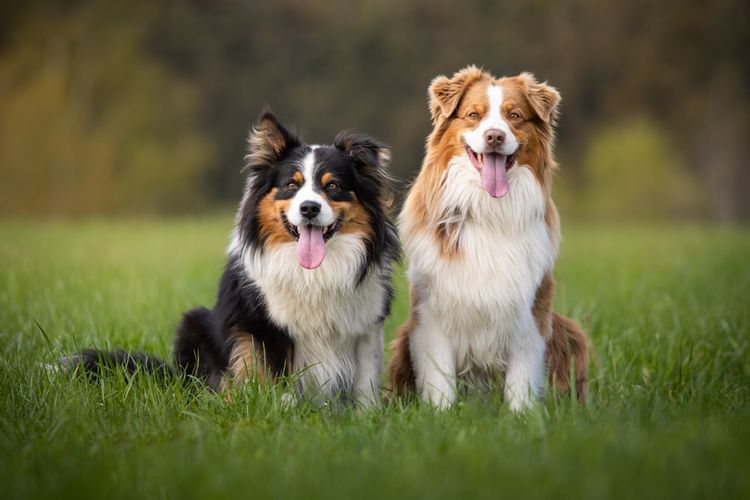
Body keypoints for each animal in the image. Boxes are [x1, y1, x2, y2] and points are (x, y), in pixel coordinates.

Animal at [390, 65, 592, 410]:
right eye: (474, 115)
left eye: (514, 116)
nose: (494, 136)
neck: (488, 209)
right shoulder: (431, 314)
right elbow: (439, 378)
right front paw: (441, 413)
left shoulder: (530, 313)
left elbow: (521, 380)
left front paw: (522, 416)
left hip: (568, 331)